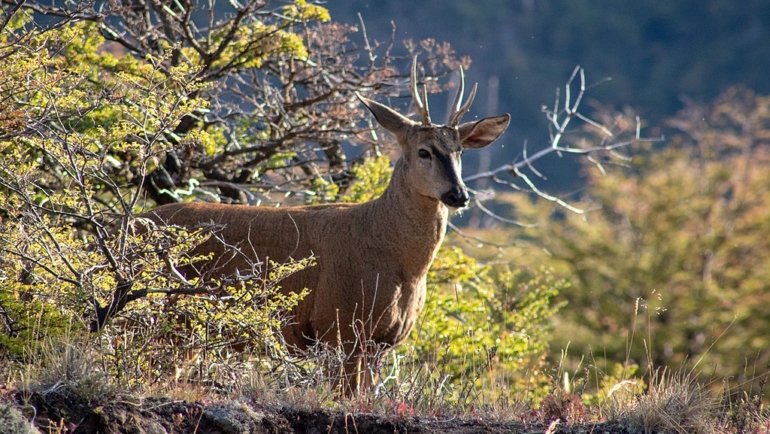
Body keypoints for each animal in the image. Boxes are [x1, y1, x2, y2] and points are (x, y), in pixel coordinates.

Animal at [143, 58, 510, 396]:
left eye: (459, 151)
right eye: (424, 151)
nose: (458, 194)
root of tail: (134, 222)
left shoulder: (381, 340)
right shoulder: (338, 325)